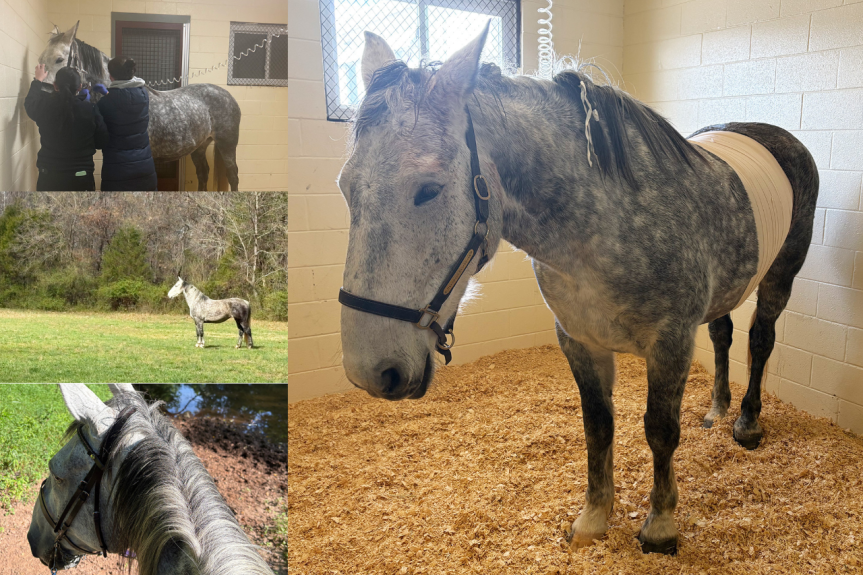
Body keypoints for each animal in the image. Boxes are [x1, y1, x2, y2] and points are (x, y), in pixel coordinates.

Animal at [37, 22, 242, 191]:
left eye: (59, 59)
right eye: (40, 59)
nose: (44, 95)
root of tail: (228, 96)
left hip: (227, 144)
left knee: (233, 176)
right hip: (200, 146)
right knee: (203, 173)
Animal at [336, 25, 818, 555]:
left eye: (429, 189)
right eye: (346, 188)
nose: (371, 372)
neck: (603, 223)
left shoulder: (669, 343)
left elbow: (660, 431)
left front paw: (660, 525)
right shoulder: (579, 340)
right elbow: (598, 427)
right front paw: (593, 519)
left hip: (779, 277)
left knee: (761, 340)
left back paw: (747, 424)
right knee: (723, 335)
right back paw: (716, 410)